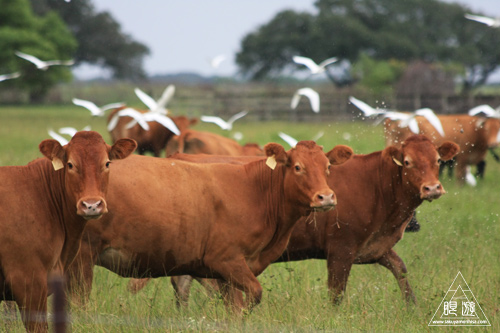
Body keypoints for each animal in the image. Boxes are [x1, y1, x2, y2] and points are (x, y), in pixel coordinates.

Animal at [68, 140, 354, 308]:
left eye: (328, 167)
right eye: (297, 167)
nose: (326, 197)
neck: (255, 191)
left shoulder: (226, 272)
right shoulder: (227, 260)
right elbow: (251, 297)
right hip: (83, 257)